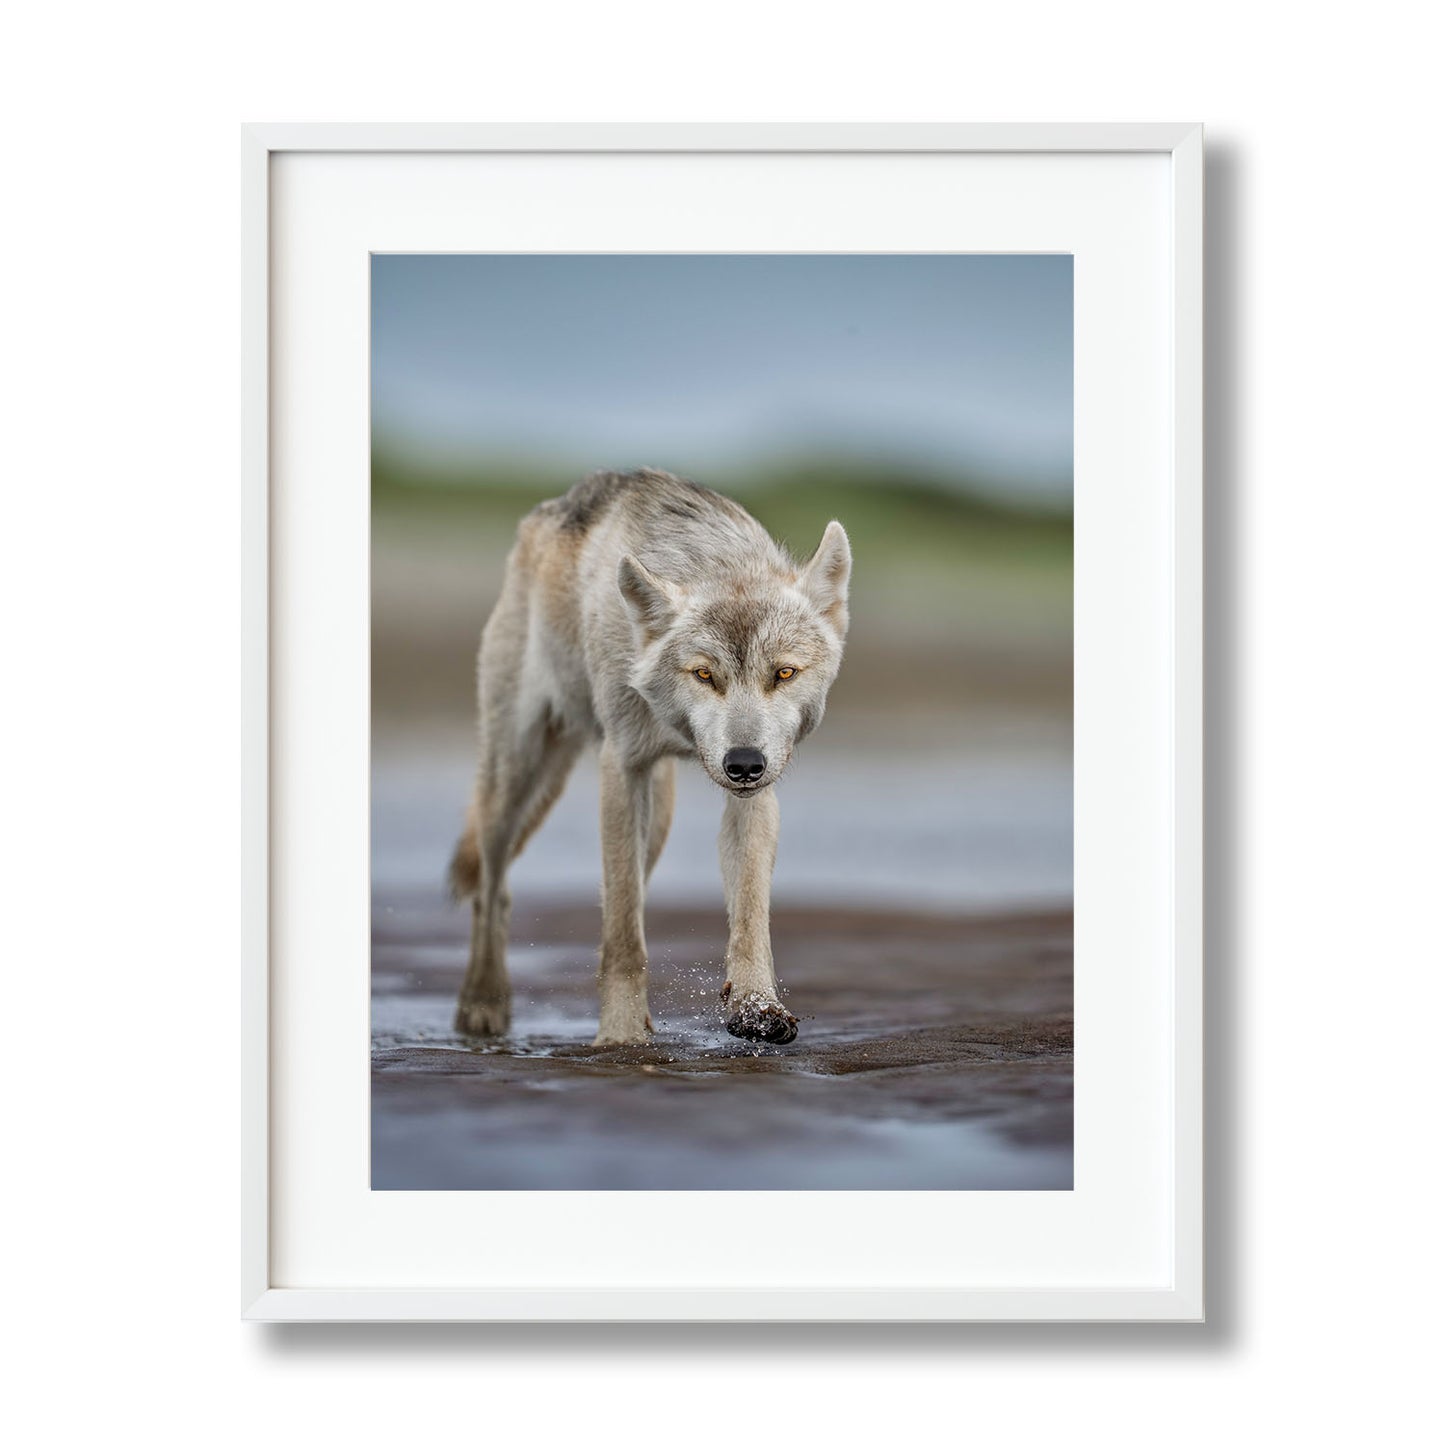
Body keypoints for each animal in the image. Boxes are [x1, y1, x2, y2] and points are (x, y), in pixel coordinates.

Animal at [447, 468, 852, 1046]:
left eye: (784, 673)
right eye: (704, 674)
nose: (743, 763)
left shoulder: (755, 795)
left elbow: (749, 915)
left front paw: (755, 1007)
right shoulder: (621, 768)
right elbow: (622, 938)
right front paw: (620, 1039)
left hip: (656, 816)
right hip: (515, 779)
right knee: (492, 889)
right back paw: (482, 1005)